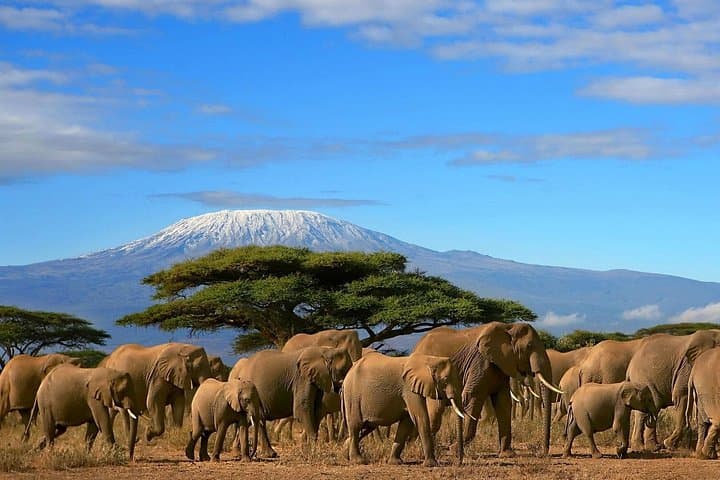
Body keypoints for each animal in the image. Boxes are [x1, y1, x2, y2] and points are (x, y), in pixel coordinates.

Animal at [413, 322, 562, 456]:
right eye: (529, 346)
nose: (544, 453)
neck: (508, 327)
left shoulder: (501, 365)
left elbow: (503, 402)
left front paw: (507, 454)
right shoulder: (480, 362)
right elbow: (472, 397)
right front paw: (454, 450)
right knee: (436, 411)